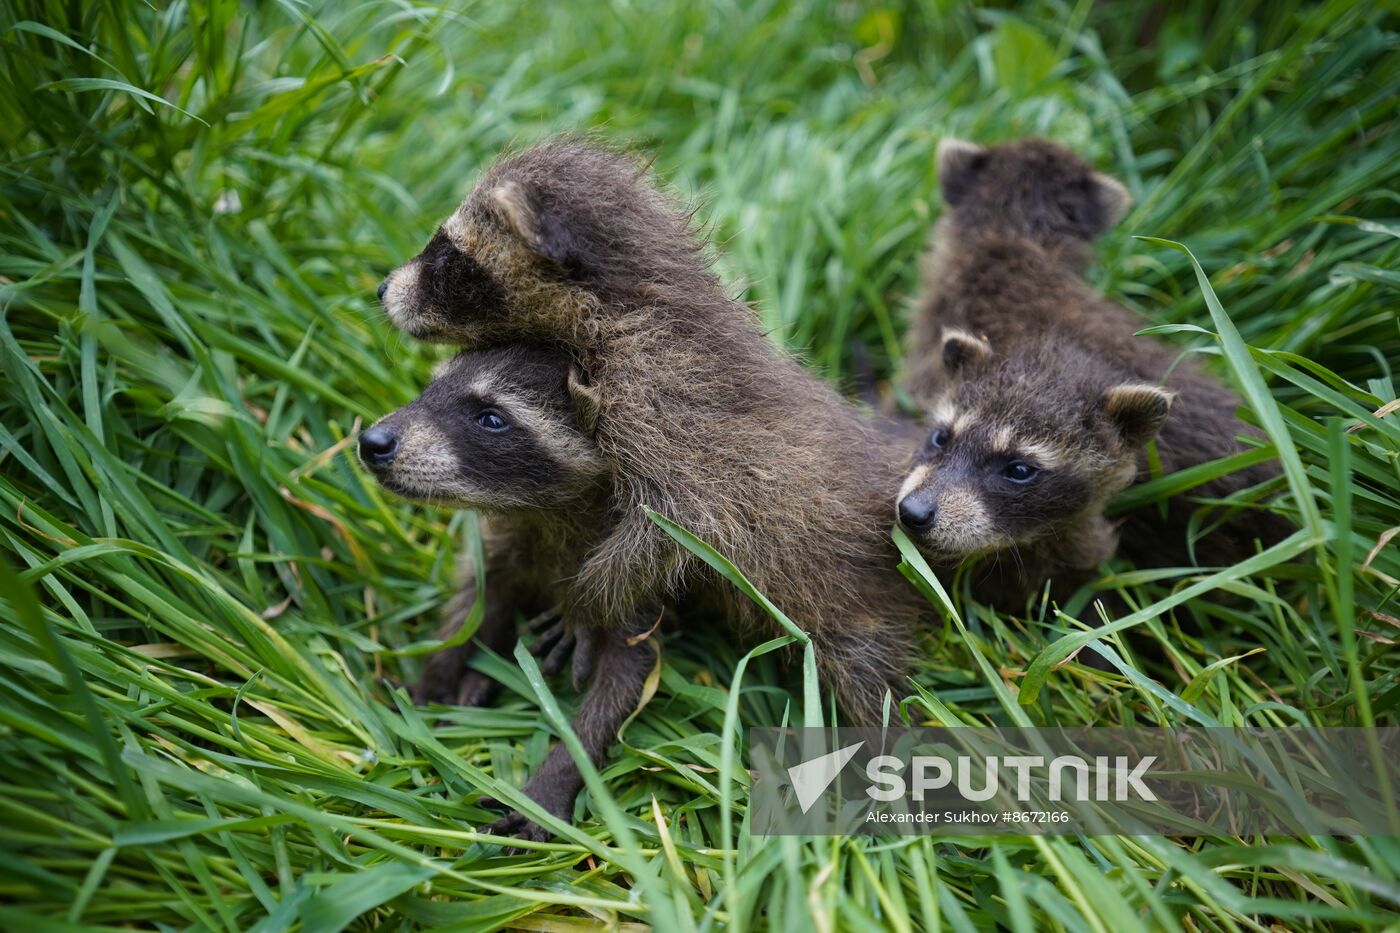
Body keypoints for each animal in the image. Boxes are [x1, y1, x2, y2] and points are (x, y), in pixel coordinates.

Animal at [376, 140, 932, 839]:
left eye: (448, 256)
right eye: (429, 393)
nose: (379, 288)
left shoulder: (662, 404)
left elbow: (678, 532)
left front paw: (584, 609)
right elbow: (480, 592)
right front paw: (441, 670)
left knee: (870, 685)